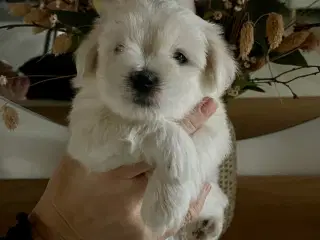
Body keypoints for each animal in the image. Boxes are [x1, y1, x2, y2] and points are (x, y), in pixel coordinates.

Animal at [67, 0, 238, 239]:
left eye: (180, 57)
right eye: (119, 48)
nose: (144, 79)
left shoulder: (215, 125)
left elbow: (199, 151)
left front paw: (166, 200)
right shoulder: (87, 129)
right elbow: (162, 131)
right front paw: (164, 207)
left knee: (219, 198)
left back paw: (207, 225)